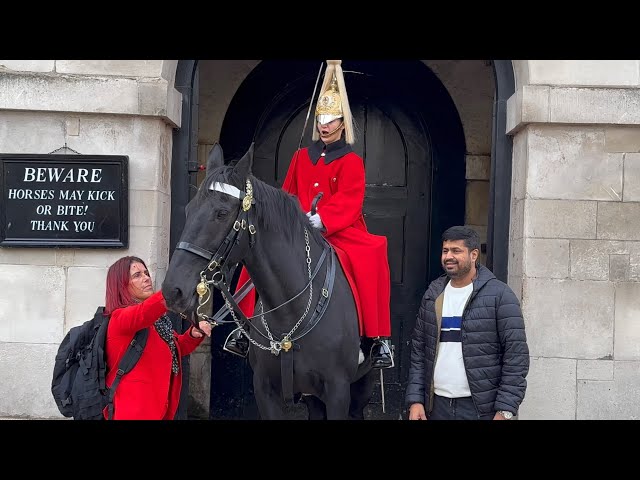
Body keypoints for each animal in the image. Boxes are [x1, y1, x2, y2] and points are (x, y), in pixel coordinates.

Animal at [162, 143, 378, 420]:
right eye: (189, 210)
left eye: (221, 213)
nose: (172, 290)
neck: (290, 311)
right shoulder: (265, 391)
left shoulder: (338, 392)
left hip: (361, 386)